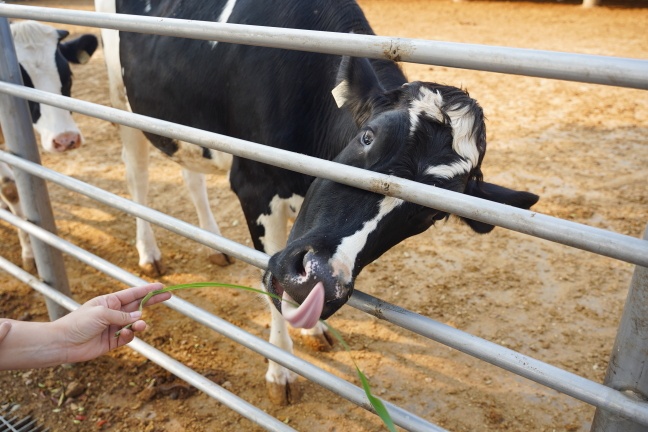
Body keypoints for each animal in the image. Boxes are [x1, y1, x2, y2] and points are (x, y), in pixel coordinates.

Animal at [97, 0, 536, 404]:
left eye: (432, 213)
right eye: (368, 136)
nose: (317, 278)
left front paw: (308, 326)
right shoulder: (255, 186)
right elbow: (272, 290)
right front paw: (280, 372)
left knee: (191, 173)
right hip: (124, 102)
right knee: (137, 175)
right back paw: (149, 252)